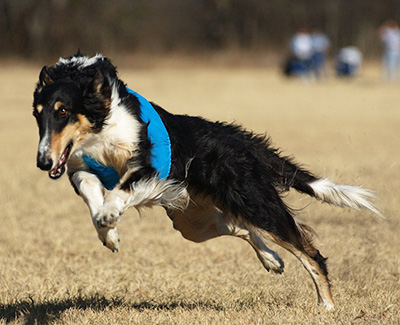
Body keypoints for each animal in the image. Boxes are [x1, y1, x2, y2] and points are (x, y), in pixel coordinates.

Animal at [32, 53, 382, 308]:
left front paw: (110, 216)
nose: (43, 162)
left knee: (310, 252)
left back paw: (326, 306)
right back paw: (272, 260)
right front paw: (109, 233)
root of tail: (242, 142)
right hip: (193, 222)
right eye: (38, 114)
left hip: (253, 204)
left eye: (62, 111)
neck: (100, 124)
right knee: (242, 228)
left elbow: (119, 191)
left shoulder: (150, 169)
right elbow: (93, 200)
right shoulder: (80, 167)